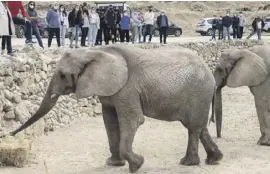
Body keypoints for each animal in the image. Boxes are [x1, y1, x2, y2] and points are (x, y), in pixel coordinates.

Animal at [4, 45, 223, 173]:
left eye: (63, 75)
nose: (8, 135)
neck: (93, 51)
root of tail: (211, 75)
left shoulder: (128, 88)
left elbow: (133, 120)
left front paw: (137, 164)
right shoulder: (110, 89)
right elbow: (109, 121)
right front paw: (113, 164)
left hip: (198, 92)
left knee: (193, 127)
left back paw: (188, 163)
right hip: (199, 96)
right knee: (198, 127)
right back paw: (213, 160)